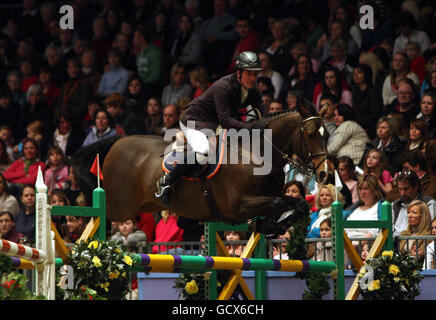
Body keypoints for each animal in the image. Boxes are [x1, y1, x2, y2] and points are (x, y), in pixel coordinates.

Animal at [73, 110, 336, 232]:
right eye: (310, 135)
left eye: (327, 135)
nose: (325, 174)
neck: (257, 154)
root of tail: (117, 143)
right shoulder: (238, 206)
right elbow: (278, 203)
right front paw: (272, 226)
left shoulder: (272, 196)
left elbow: (297, 204)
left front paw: (273, 227)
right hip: (119, 207)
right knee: (95, 219)